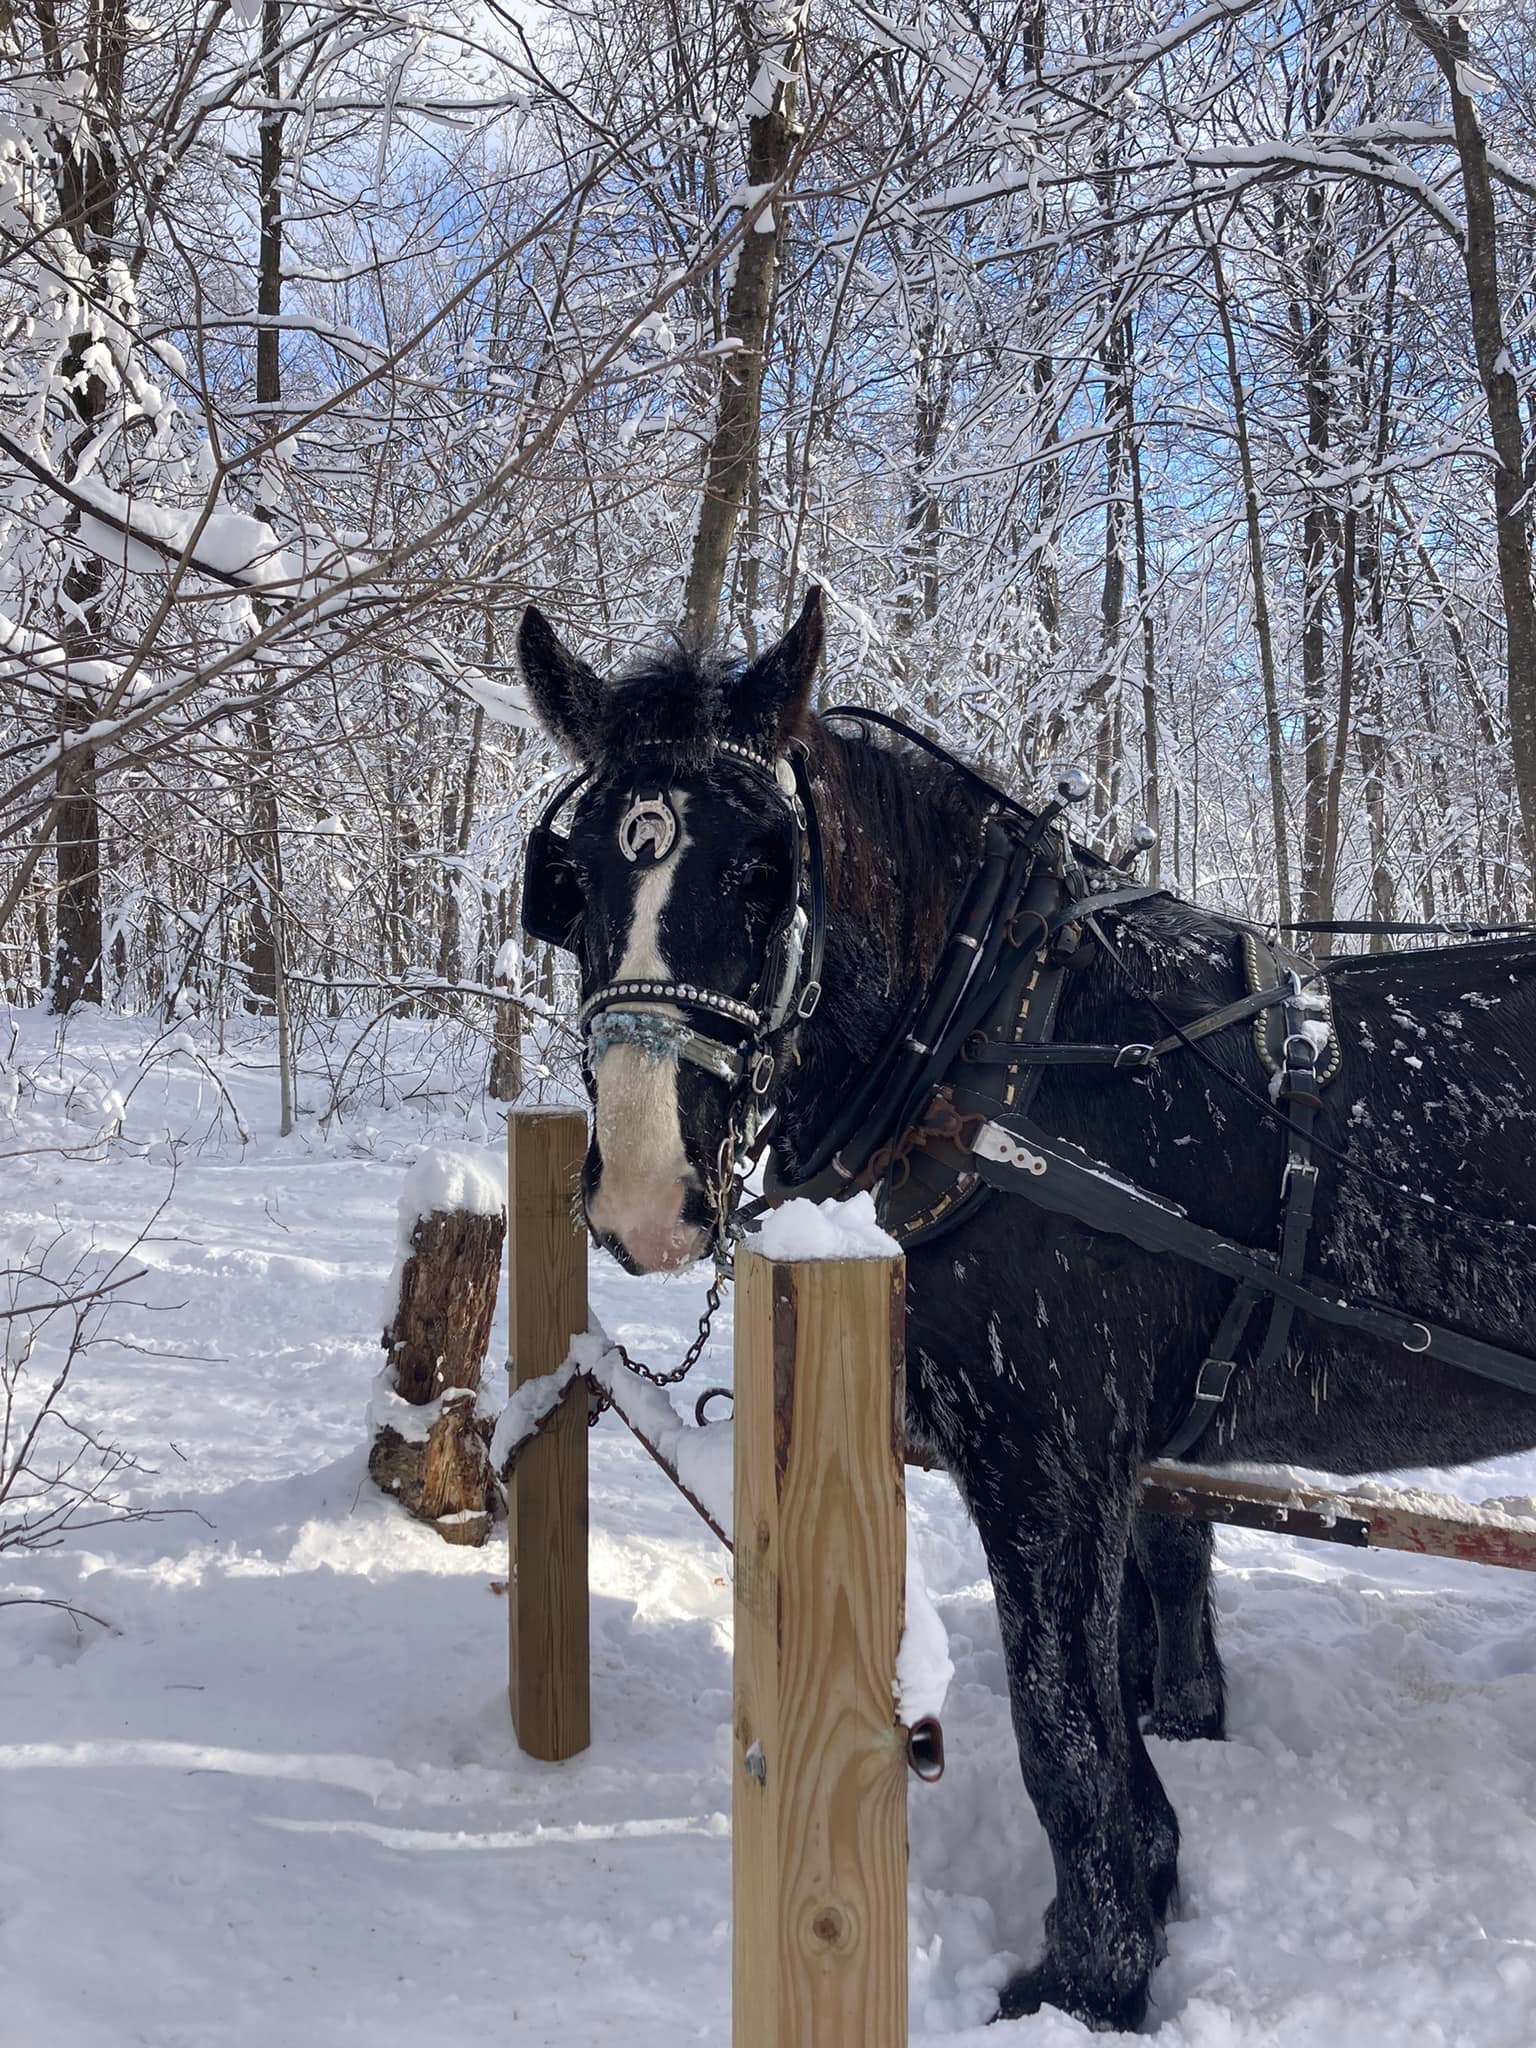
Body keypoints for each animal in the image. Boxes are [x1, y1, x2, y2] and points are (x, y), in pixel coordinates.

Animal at [514, 586, 1536, 2030]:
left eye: (764, 871)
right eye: (576, 883)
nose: (648, 1194)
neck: (998, 1053)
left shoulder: (1048, 1459)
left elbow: (1062, 1725)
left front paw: (1090, 1974)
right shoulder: (1104, 1464)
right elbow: (1118, 1672)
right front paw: (1146, 1885)